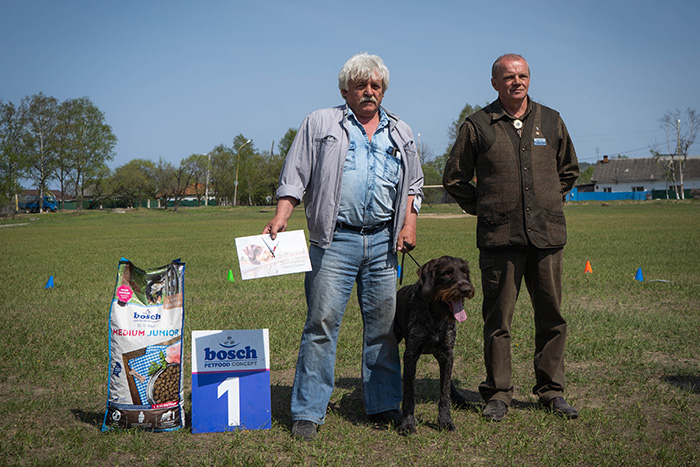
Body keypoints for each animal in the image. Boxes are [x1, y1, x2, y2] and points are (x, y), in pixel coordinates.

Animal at [394, 256, 476, 436]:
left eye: (465, 272)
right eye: (447, 273)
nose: (467, 289)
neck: (436, 313)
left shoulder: (447, 353)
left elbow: (444, 392)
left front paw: (445, 420)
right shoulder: (411, 355)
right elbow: (409, 394)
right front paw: (407, 423)